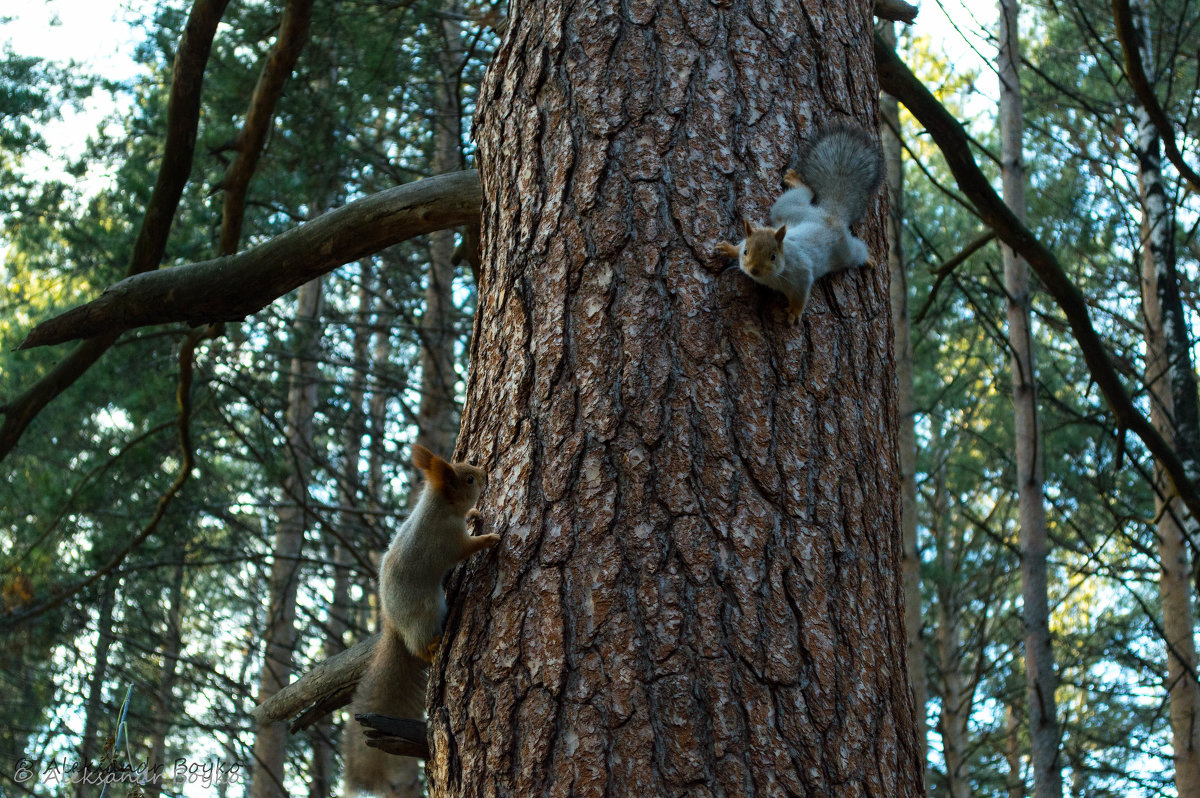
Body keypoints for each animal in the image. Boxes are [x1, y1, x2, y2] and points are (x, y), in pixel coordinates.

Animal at [343, 444, 496, 792]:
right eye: (469, 479)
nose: (485, 473)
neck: (438, 509)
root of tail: (394, 626)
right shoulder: (448, 541)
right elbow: (466, 548)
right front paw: (490, 538)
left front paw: (475, 515)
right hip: (427, 611)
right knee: (419, 647)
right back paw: (433, 646)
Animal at [715, 123, 888, 321]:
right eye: (745, 251)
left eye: (773, 256)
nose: (754, 271)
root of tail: (828, 215)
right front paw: (729, 249)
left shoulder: (801, 275)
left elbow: (801, 296)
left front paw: (795, 313)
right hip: (788, 209)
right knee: (804, 193)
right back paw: (795, 181)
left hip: (845, 250)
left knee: (857, 251)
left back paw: (867, 258)